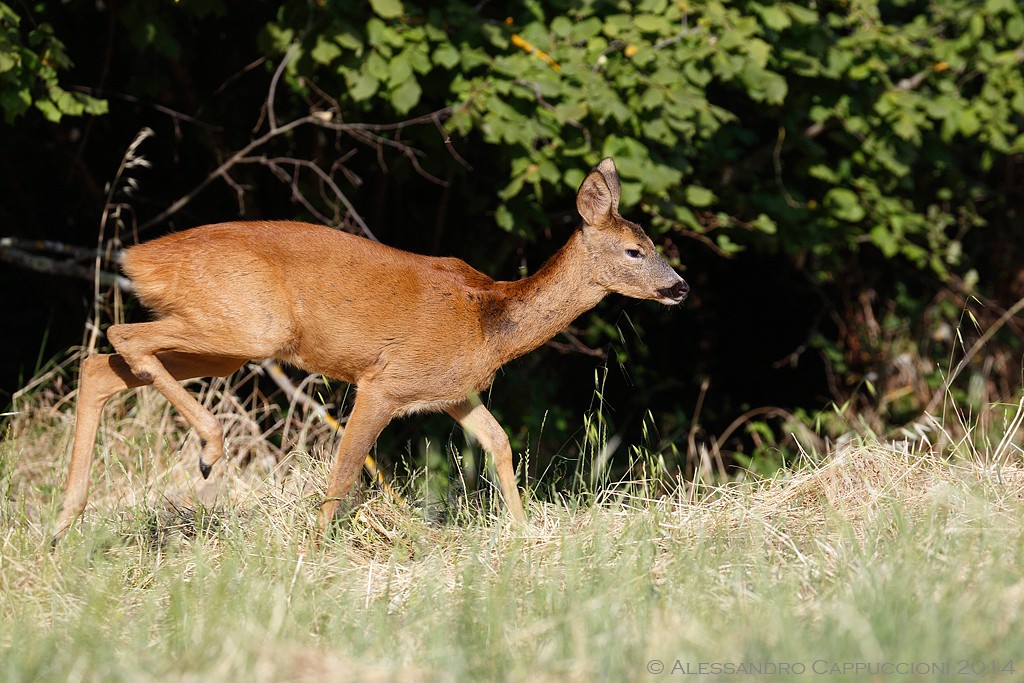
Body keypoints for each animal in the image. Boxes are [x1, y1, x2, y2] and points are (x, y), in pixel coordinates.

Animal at [49, 157, 688, 540]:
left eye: (653, 244)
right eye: (635, 250)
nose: (679, 287)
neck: (491, 323)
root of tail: (139, 257)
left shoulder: (452, 392)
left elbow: (501, 443)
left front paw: (523, 533)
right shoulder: (384, 381)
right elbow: (345, 469)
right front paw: (314, 548)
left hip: (223, 338)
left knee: (100, 365)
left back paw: (64, 524)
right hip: (247, 326)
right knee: (121, 337)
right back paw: (208, 448)